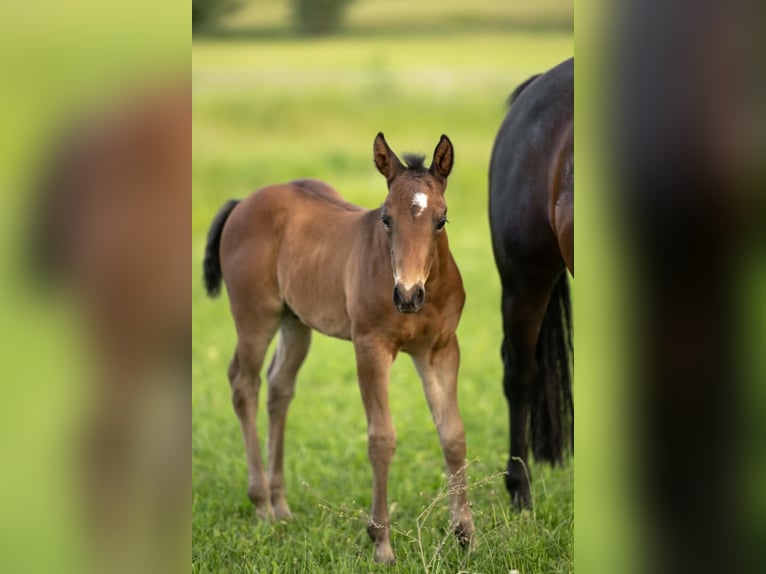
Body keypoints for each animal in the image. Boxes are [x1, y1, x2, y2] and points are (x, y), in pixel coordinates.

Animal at [203, 133, 474, 564]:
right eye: (386, 219)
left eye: (441, 219)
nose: (407, 295)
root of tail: (245, 202)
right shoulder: (370, 347)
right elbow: (381, 439)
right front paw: (381, 543)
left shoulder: (441, 350)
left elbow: (453, 435)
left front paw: (466, 536)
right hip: (255, 315)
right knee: (244, 384)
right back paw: (261, 504)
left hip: (295, 322)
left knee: (279, 387)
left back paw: (281, 505)